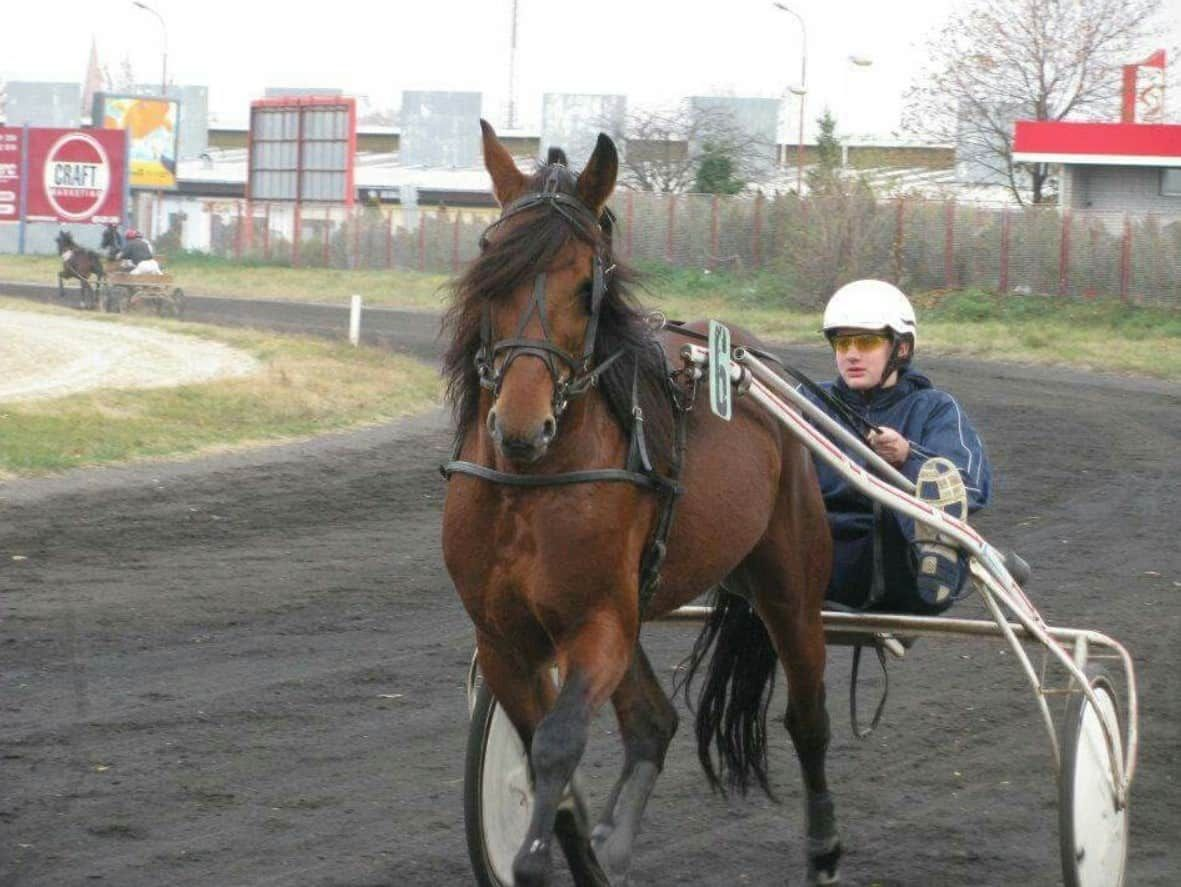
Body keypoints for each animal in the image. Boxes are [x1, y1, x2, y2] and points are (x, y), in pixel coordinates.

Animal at [444, 119, 840, 887]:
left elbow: (558, 744)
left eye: (583, 284)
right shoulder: (504, 636)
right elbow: (546, 765)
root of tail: (746, 356)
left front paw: (533, 860)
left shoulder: (599, 622)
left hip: (789, 576)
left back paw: (824, 852)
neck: (527, 489)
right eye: (490, 264)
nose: (521, 425)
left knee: (808, 719)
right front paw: (578, 848)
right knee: (654, 721)